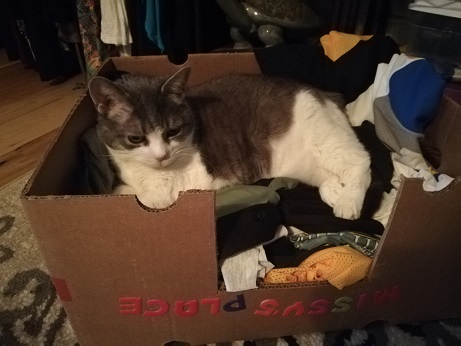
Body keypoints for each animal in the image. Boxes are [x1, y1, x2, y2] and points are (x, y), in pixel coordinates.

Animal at [88, 65, 372, 219]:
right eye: (136, 138)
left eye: (173, 131)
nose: (161, 156)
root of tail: (324, 92)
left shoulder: (186, 184)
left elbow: (144, 197)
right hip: (303, 164)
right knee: (328, 176)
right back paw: (334, 191)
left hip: (325, 142)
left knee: (361, 161)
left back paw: (348, 202)